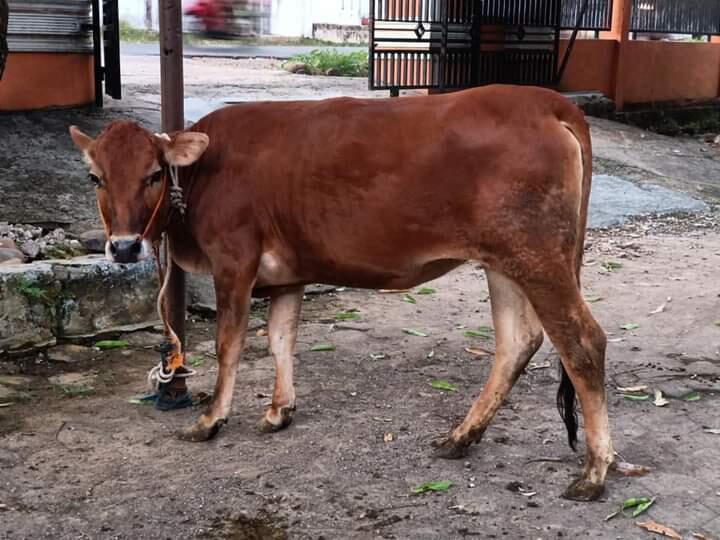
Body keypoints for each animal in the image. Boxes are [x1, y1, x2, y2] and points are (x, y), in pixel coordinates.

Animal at [70, 85, 612, 502]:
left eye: (153, 174)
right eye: (95, 176)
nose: (123, 247)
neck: (204, 172)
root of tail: (545, 101)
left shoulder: (234, 262)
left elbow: (230, 345)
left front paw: (210, 420)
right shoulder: (287, 275)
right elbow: (280, 339)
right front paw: (279, 411)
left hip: (540, 258)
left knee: (583, 343)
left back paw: (594, 472)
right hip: (504, 261)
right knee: (517, 342)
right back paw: (461, 437)